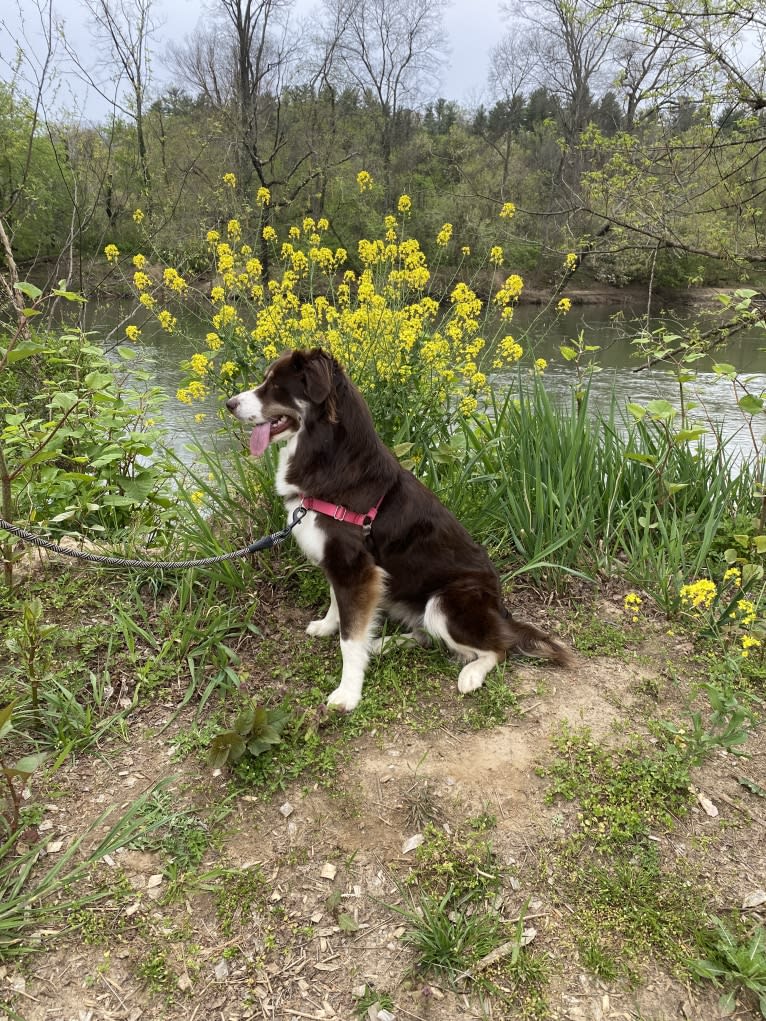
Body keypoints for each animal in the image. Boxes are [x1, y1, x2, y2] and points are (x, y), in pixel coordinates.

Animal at [224, 349, 571, 710]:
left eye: (276, 386)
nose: (229, 404)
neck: (330, 458)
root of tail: (500, 608)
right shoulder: (345, 567)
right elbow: (338, 606)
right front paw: (328, 626)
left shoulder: (355, 569)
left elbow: (350, 638)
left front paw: (348, 693)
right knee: (426, 636)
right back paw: (382, 644)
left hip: (445, 604)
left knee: (498, 647)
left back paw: (471, 673)